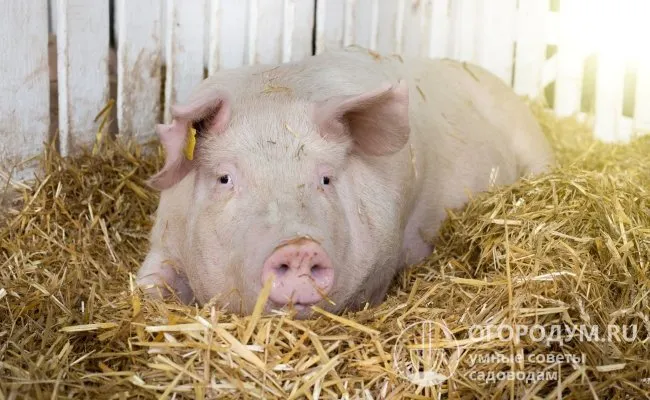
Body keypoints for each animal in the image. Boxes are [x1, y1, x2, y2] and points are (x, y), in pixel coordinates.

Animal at [137, 47, 552, 318]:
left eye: (325, 178)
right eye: (224, 178)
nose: (298, 248)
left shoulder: (382, 261)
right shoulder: (165, 235)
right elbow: (148, 284)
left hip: (535, 146)